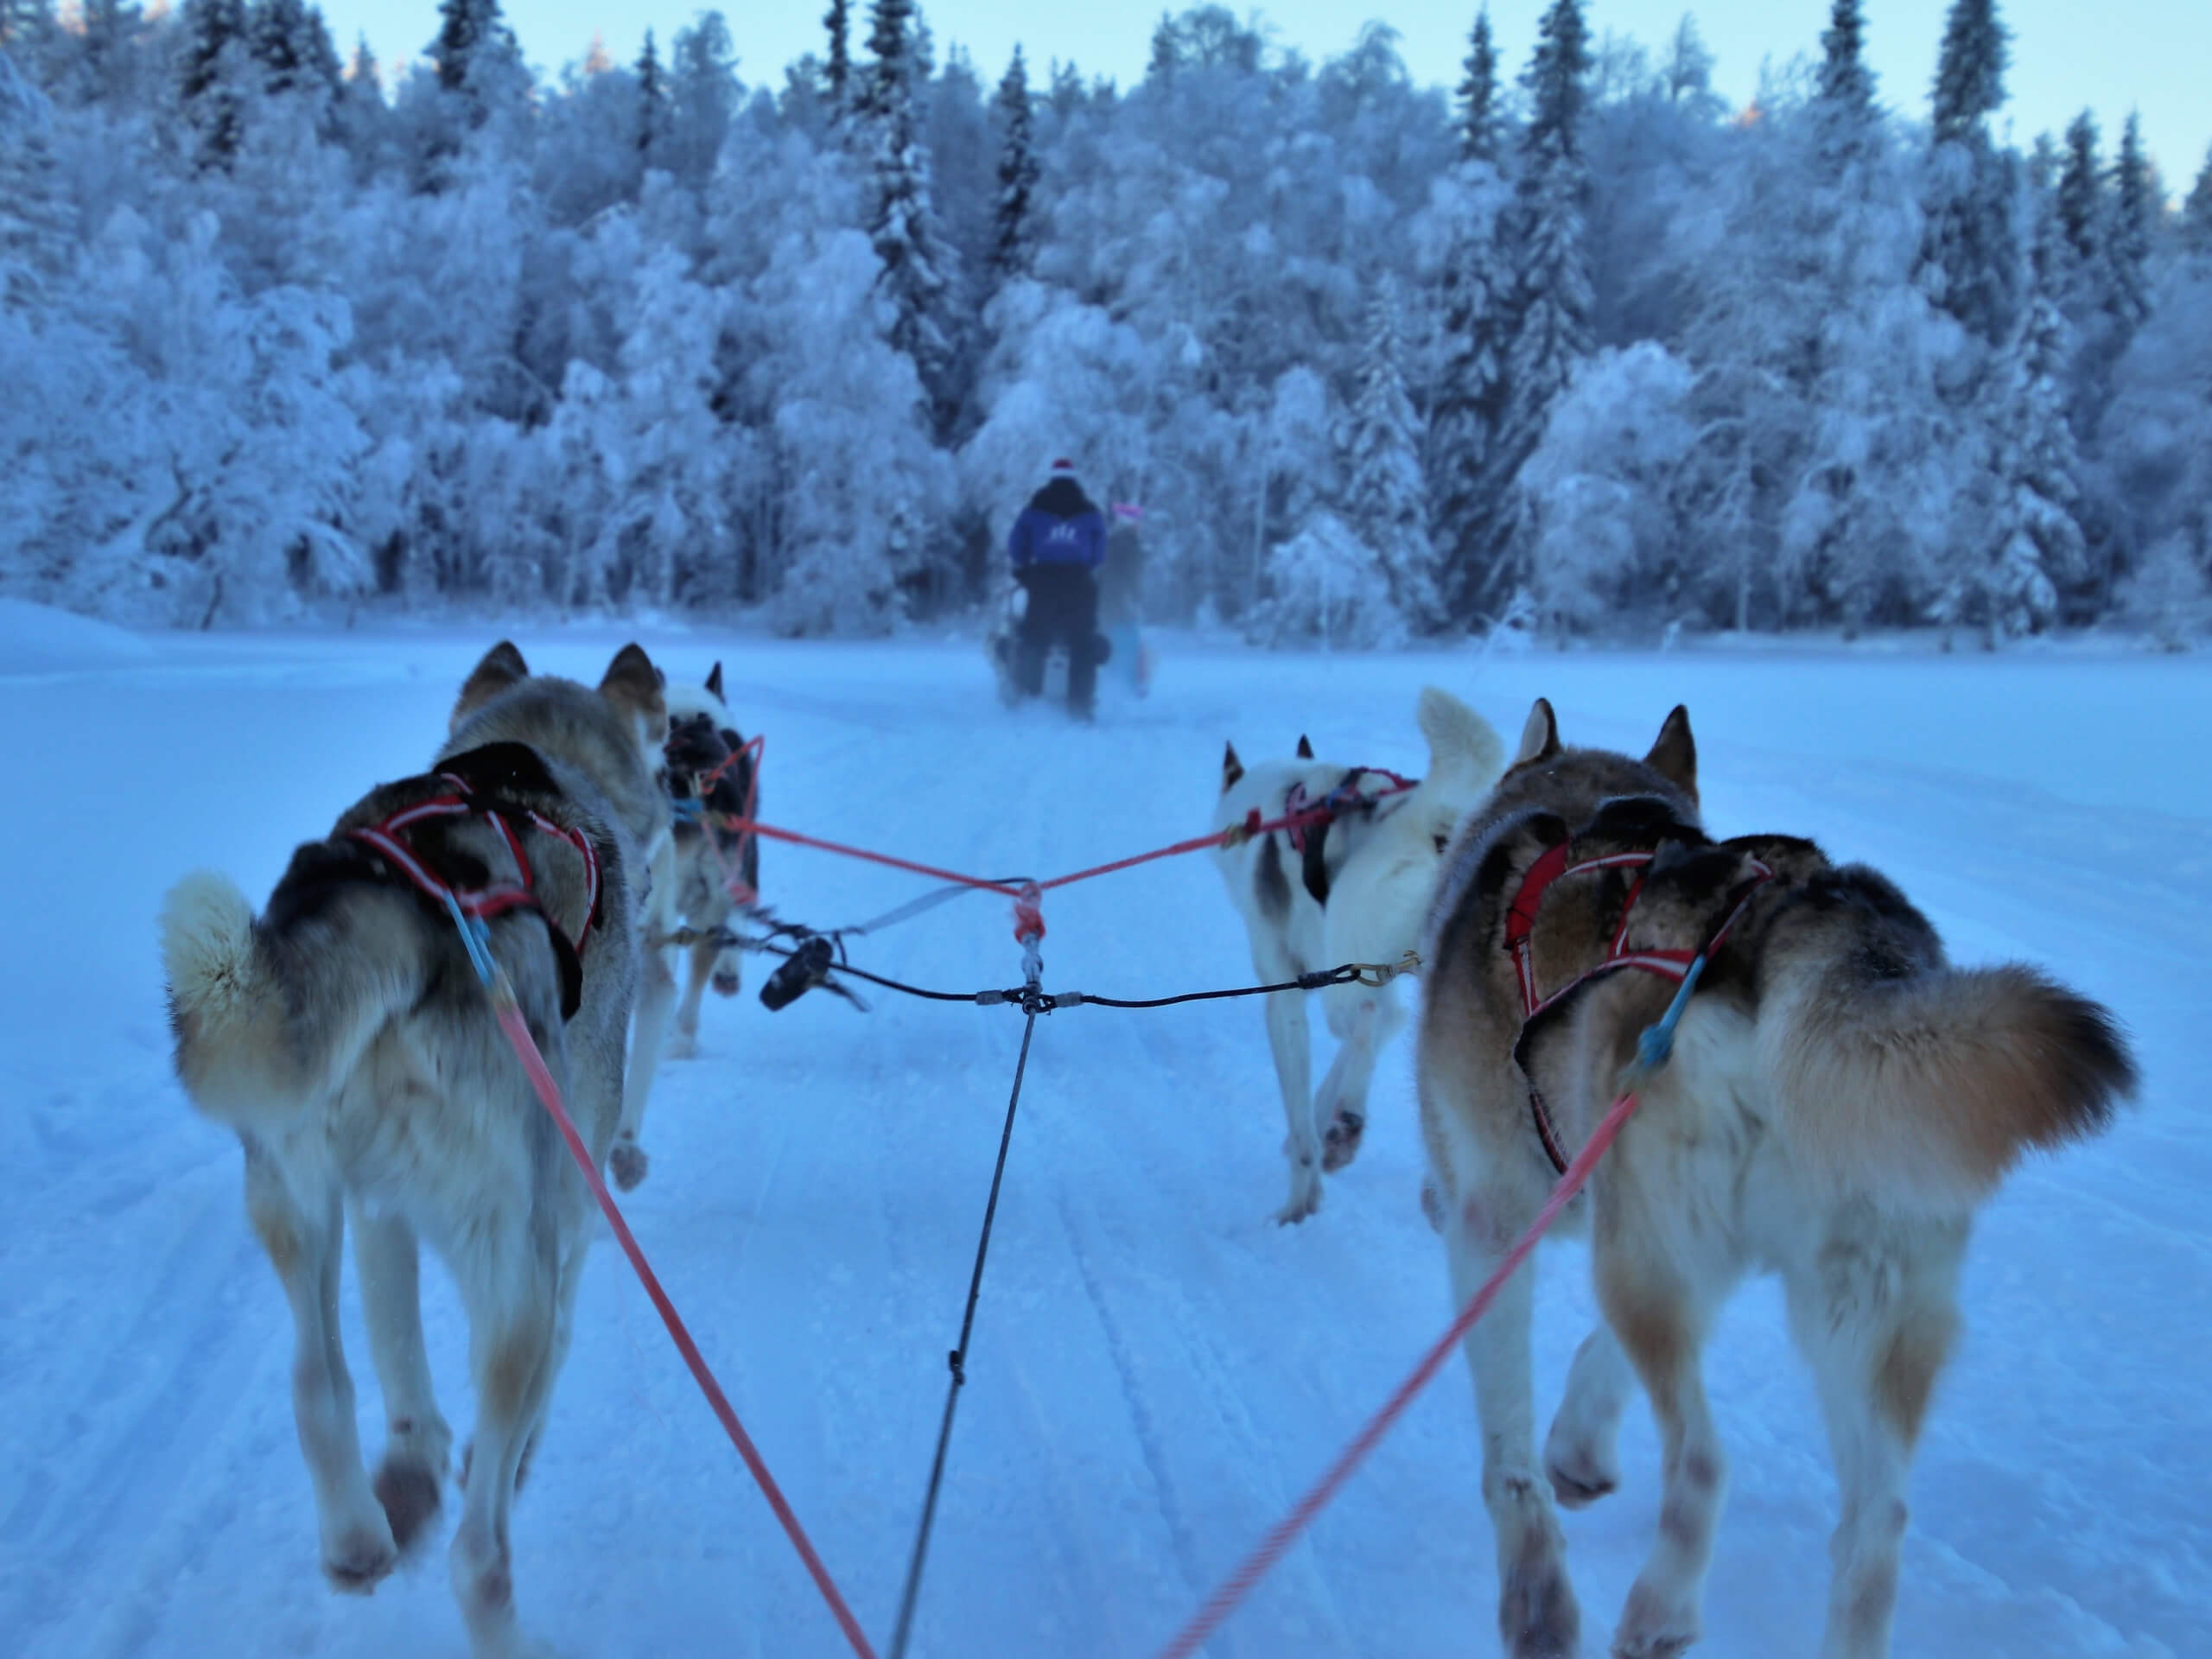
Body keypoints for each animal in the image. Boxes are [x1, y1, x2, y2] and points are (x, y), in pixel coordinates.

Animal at [161, 641, 668, 1654]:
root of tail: (411, 900)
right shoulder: (563, 1228)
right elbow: (548, 1366)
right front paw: (497, 1462)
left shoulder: (374, 1210)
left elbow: (396, 1362)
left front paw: (412, 1469)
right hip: (511, 1267)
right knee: (480, 1559)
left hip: (292, 1195)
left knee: (318, 1386)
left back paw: (359, 1537)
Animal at [1221, 685, 1513, 1221]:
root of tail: (1432, 819)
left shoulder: (1289, 993)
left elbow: (1302, 1113)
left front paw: (1299, 1197)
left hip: (1352, 965)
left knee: (1367, 1016)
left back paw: (1348, 1127)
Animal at [1407, 703, 2132, 1659]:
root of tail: (1798, 927)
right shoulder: (1662, 1236)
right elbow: (1597, 1361)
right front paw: (1579, 1447)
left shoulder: (1497, 1224)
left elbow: (1509, 1459)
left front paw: (1537, 1599)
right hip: (1854, 1308)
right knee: (1876, 1525)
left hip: (1649, 1263)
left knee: (1704, 1464)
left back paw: (1661, 1610)